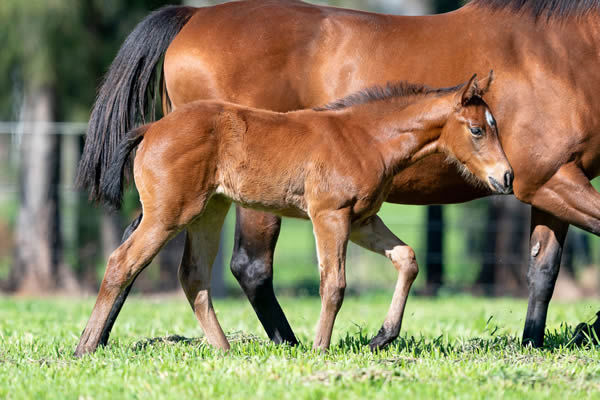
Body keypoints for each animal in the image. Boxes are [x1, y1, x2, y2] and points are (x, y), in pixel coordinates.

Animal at [75, 75, 510, 356]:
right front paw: (320, 348)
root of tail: (150, 129)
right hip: (169, 213)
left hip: (209, 210)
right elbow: (334, 284)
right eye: (476, 130)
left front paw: (382, 337)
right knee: (122, 263)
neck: (366, 138)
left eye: (494, 125)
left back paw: (225, 351)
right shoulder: (329, 214)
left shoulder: (362, 220)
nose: (506, 177)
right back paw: (86, 347)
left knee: (193, 276)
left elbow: (408, 258)